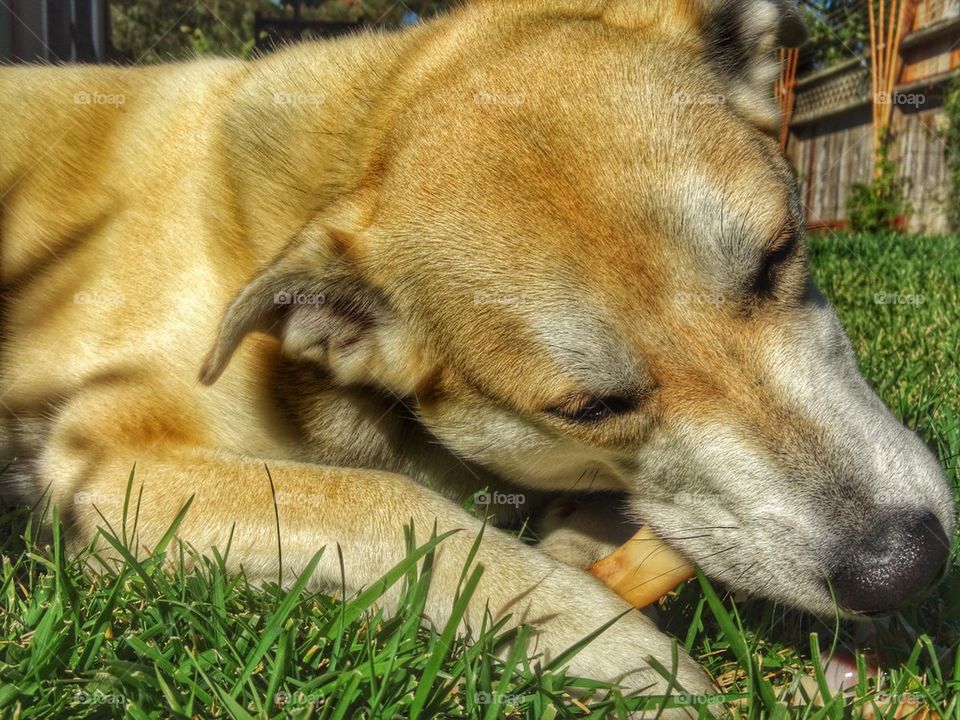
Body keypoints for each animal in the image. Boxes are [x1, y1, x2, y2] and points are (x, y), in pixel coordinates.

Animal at [0, 0, 956, 708]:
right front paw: (594, 634)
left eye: (778, 257)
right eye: (589, 408)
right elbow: (385, 501)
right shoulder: (104, 459)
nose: (903, 564)